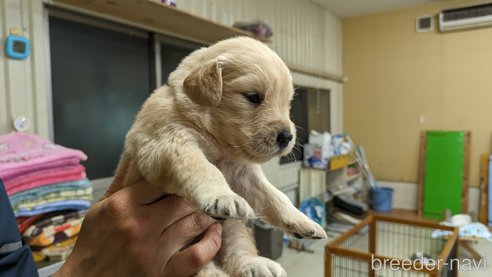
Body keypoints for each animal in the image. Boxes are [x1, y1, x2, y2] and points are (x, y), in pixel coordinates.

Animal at [108, 36, 326, 274]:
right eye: (253, 97)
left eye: (287, 103)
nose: (287, 136)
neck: (217, 141)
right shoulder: (170, 142)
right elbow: (203, 168)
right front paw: (223, 196)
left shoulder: (244, 174)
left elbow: (275, 195)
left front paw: (304, 221)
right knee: (201, 267)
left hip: (232, 227)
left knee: (236, 253)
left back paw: (258, 266)